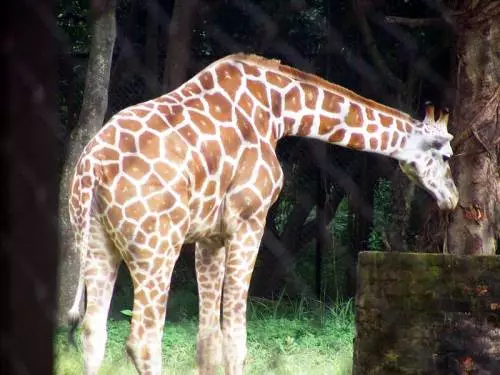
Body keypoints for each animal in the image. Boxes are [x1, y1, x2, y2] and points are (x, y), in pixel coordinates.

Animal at [68, 53, 458, 375]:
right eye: (447, 155)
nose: (452, 198)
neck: (279, 110)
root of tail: (91, 170)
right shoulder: (248, 221)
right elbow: (236, 339)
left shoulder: (209, 236)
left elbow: (207, 341)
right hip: (156, 246)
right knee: (143, 341)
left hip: (97, 244)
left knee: (93, 332)